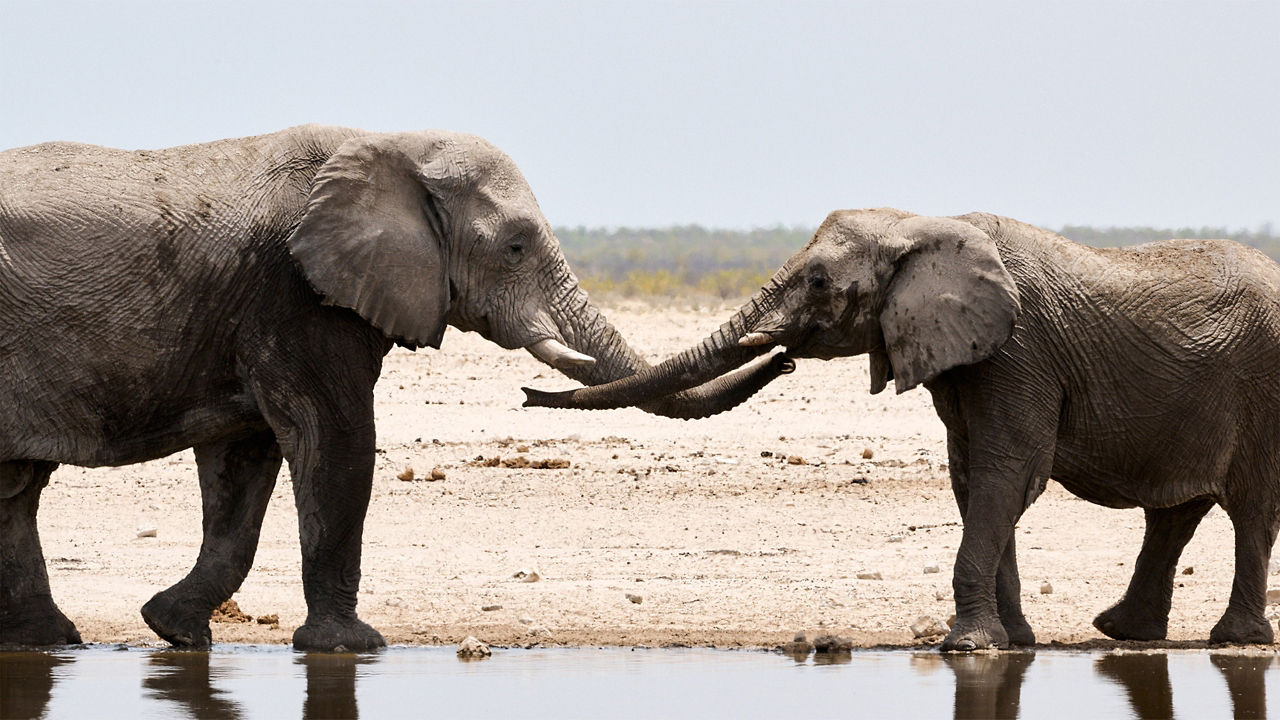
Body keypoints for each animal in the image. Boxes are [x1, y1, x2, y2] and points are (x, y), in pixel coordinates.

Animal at [0, 124, 788, 650]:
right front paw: (353, 648)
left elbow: (245, 463)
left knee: (16, 489)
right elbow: (335, 438)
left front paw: (176, 632)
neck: (389, 144)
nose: (780, 356)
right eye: (514, 248)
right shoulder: (296, 293)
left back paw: (49, 642)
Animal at [524, 204, 1280, 648]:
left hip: (1262, 387)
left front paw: (968, 648)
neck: (923, 225)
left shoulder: (1019, 353)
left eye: (819, 282)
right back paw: (1124, 633)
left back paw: (1235, 642)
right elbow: (974, 481)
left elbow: (1011, 475)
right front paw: (1014, 644)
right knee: (1175, 514)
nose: (527, 395)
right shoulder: (966, 357)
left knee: (1250, 508)